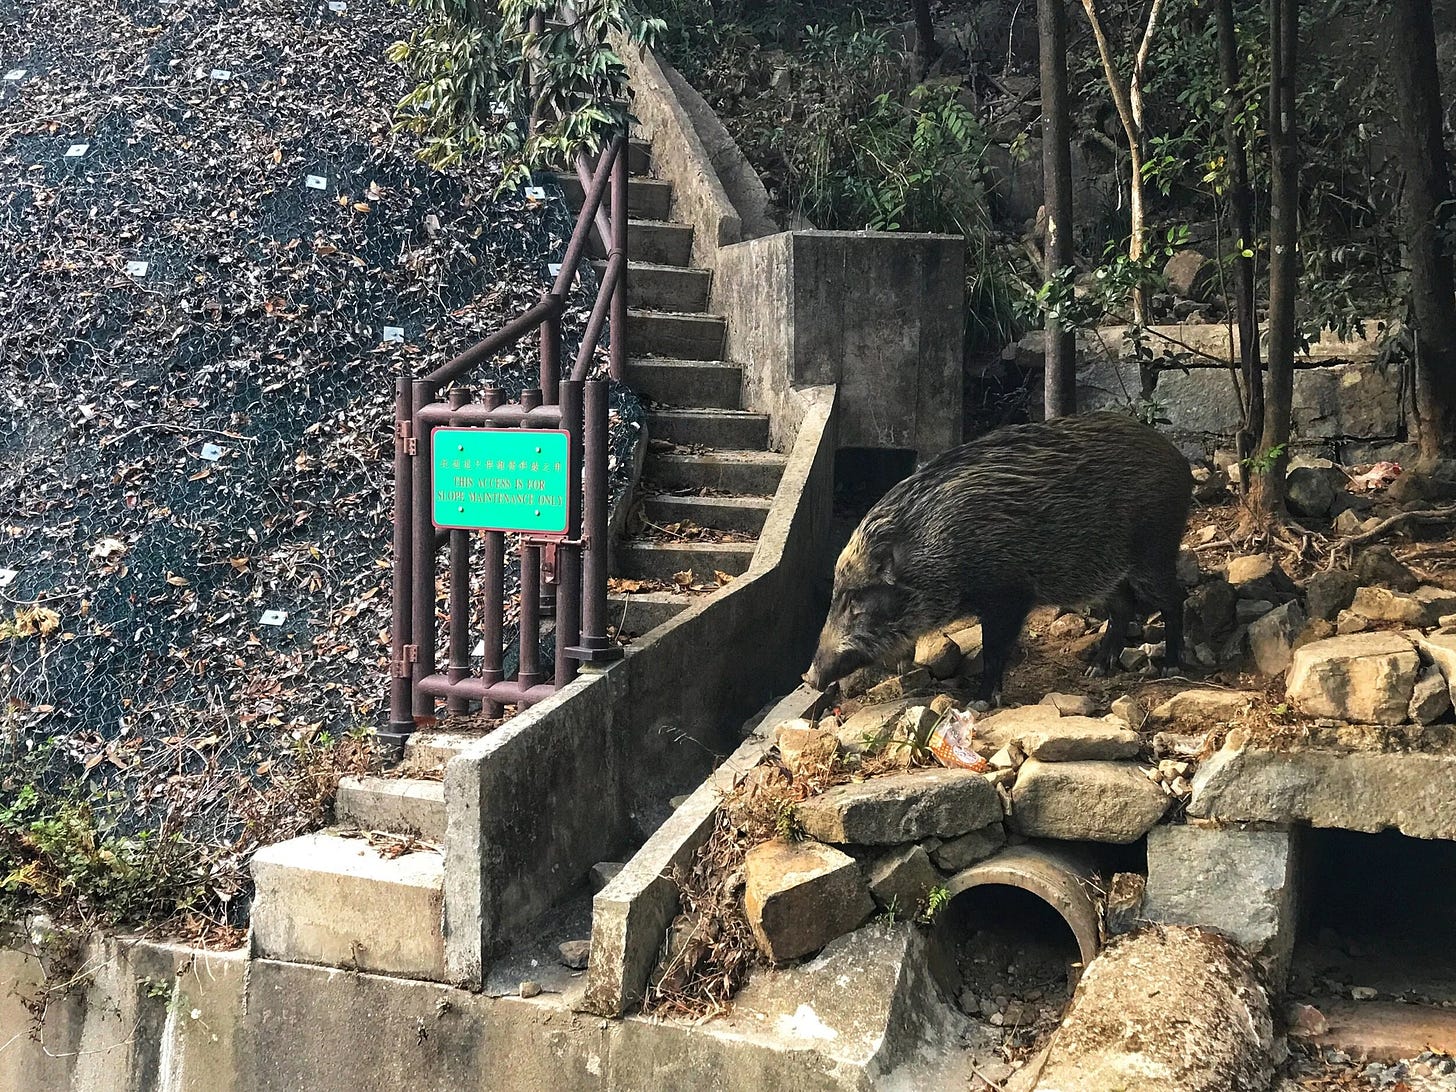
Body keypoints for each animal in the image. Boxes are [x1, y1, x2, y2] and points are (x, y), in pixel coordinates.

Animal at [805, 412, 1193, 702]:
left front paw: (978, 701)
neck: (937, 552)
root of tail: (1178, 458)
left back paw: (1171, 667)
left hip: (1154, 549)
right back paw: (1096, 669)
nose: (808, 677)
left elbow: (994, 649)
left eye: (855, 600)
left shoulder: (1007, 594)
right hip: (1102, 574)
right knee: (1124, 605)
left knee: (1175, 598)